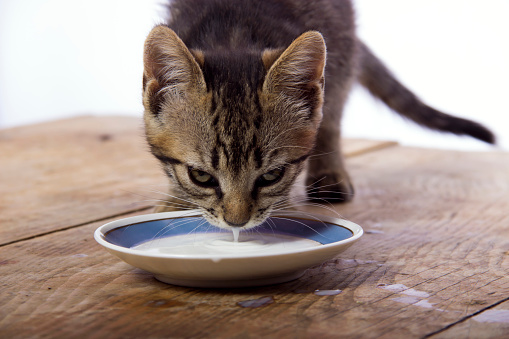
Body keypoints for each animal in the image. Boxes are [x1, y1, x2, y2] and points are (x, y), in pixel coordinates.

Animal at [141, 0, 494, 231]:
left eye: (272, 176)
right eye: (201, 176)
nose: (237, 223)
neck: (233, 34)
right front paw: (175, 199)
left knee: (332, 116)